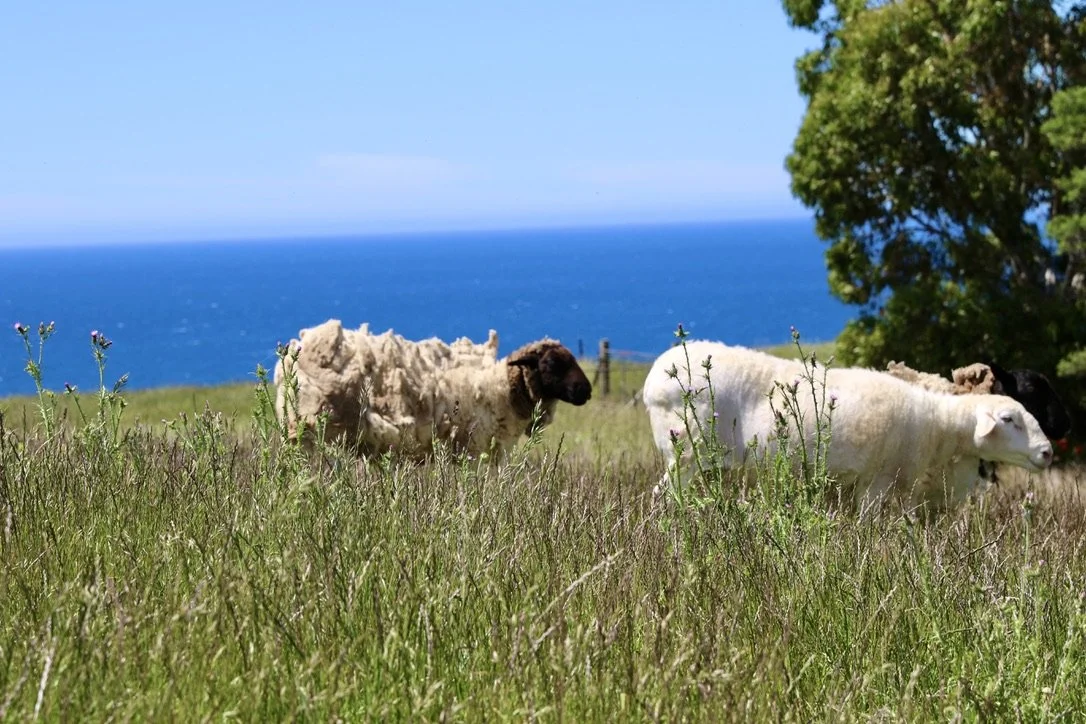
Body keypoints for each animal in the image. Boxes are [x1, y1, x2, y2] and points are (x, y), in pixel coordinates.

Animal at [642, 341, 1054, 511]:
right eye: (1008, 419)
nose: (1047, 451)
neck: (936, 422)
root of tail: (654, 378)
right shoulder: (877, 481)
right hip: (686, 451)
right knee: (663, 496)